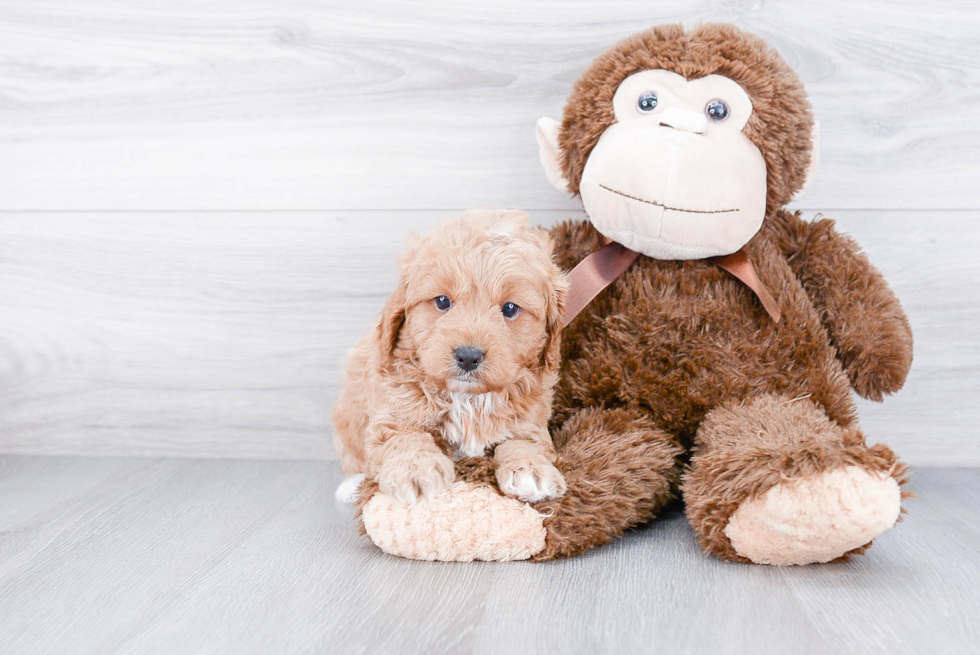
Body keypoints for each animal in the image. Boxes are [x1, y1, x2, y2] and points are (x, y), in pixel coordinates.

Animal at [334, 210, 572, 508]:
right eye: (442, 301)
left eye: (510, 308)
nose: (468, 356)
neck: (468, 398)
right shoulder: (391, 409)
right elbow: (404, 436)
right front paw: (416, 469)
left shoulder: (528, 420)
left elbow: (525, 441)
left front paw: (530, 469)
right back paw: (350, 486)